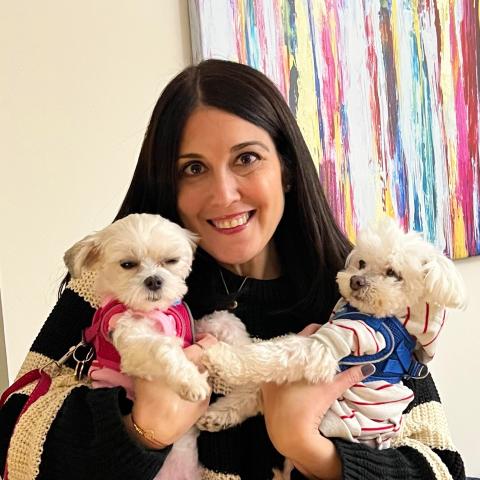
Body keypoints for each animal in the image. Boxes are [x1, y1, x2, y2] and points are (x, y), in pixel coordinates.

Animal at [63, 215, 246, 480]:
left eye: (170, 261)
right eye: (127, 264)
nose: (154, 280)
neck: (156, 310)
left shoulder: (195, 328)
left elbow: (226, 322)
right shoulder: (130, 336)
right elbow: (163, 347)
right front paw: (192, 381)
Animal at [198, 218, 464, 454]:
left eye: (392, 273)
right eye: (361, 263)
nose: (356, 281)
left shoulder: (338, 342)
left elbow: (271, 353)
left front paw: (219, 357)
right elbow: (260, 362)